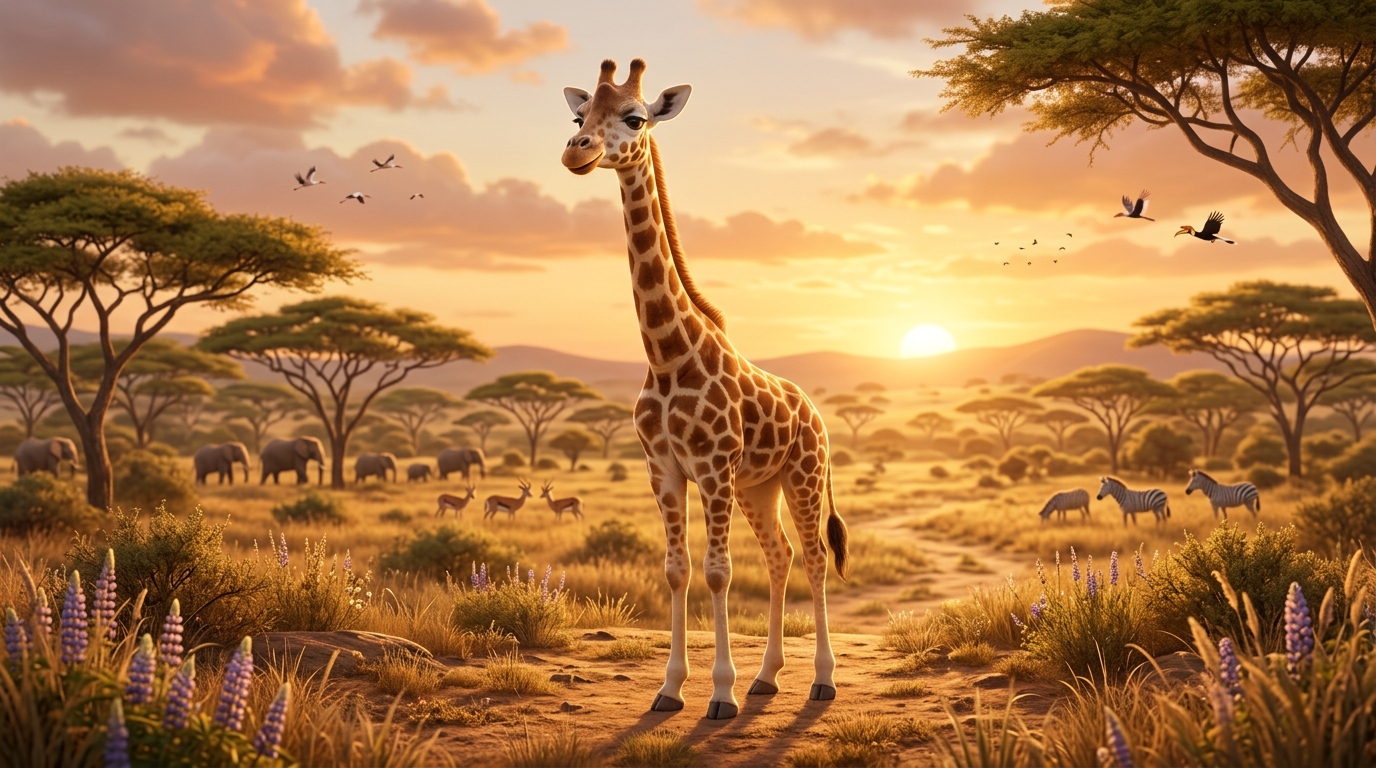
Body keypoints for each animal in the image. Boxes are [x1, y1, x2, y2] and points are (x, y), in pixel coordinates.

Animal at [560, 58, 849, 720]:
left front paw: (721, 692)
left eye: (635, 118)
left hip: (801, 475)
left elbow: (718, 571)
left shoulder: (713, 467)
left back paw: (821, 681)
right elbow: (677, 570)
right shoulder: (664, 469)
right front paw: (670, 689)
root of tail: (816, 411)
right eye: (579, 115)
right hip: (757, 486)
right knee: (780, 556)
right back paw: (768, 677)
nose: (575, 151)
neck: (669, 356)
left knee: (815, 557)